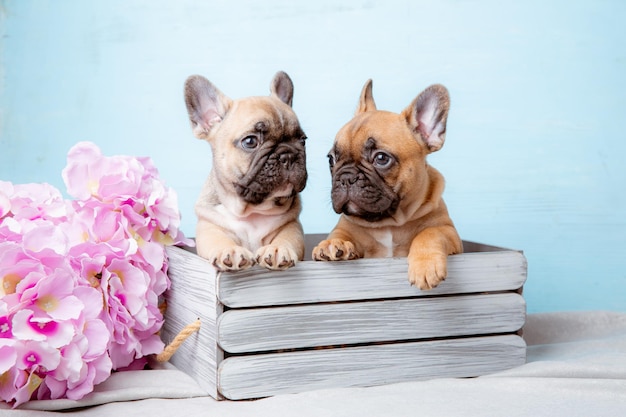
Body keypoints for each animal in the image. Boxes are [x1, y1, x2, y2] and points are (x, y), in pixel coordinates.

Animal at [184, 71, 306, 272]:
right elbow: (218, 239)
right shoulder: (209, 226)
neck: (251, 211)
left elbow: (287, 238)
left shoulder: (291, 226)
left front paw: (277, 249)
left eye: (303, 140)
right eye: (250, 141)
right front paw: (231, 250)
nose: (288, 155)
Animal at [310, 79, 460, 290]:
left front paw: (425, 265)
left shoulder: (448, 231)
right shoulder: (346, 228)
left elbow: (430, 233)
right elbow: (339, 233)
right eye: (331, 159)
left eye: (381, 158)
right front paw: (332, 244)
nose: (346, 177)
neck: (389, 222)